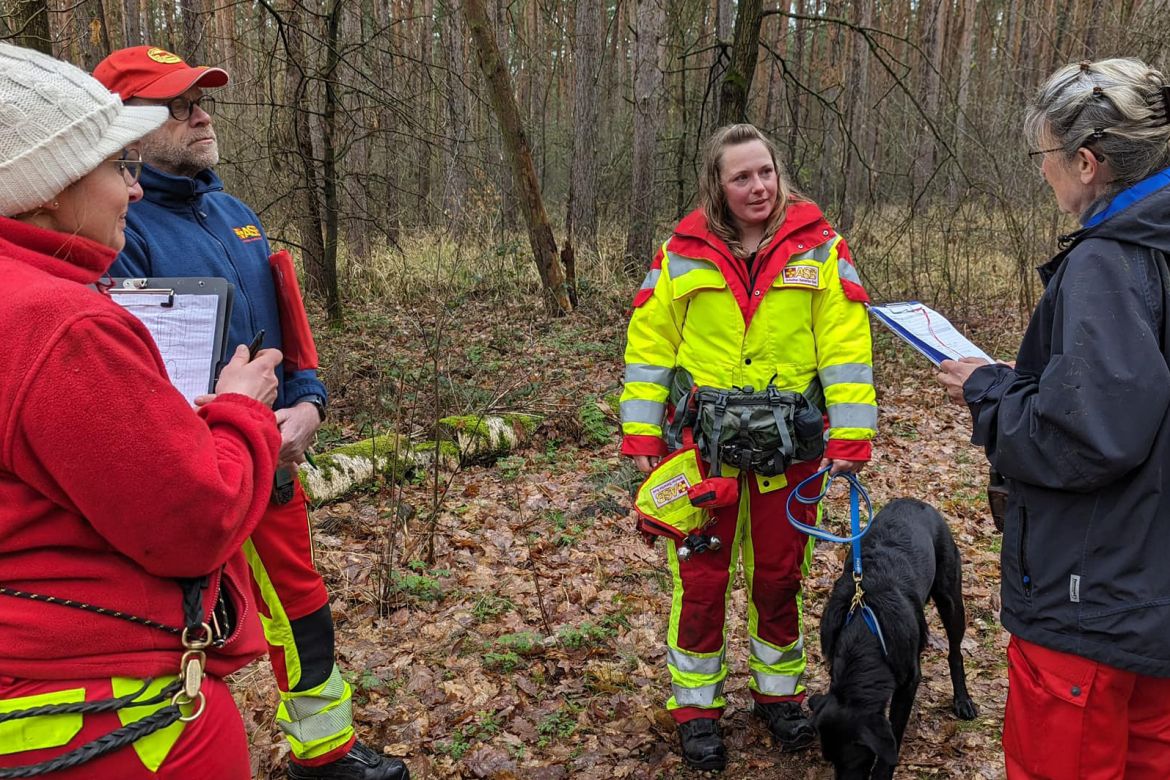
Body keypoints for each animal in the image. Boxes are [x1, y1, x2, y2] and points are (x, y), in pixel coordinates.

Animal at [804, 500, 978, 780]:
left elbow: (894, 733)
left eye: (853, 760)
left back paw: (962, 700)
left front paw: (883, 773)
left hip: (950, 599)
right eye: (830, 760)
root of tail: (915, 502)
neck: (866, 632)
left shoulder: (908, 683)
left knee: (955, 652)